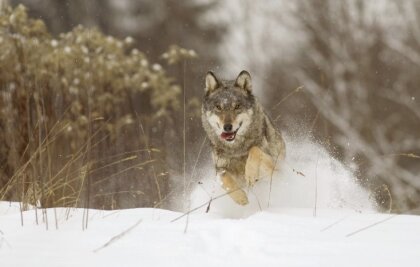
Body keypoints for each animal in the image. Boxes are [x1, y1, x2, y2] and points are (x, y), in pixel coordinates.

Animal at [201, 70, 286, 205]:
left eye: (237, 106)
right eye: (218, 107)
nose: (227, 127)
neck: (236, 150)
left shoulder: (275, 165)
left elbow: (254, 150)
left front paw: (250, 175)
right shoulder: (219, 168)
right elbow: (224, 179)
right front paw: (240, 198)